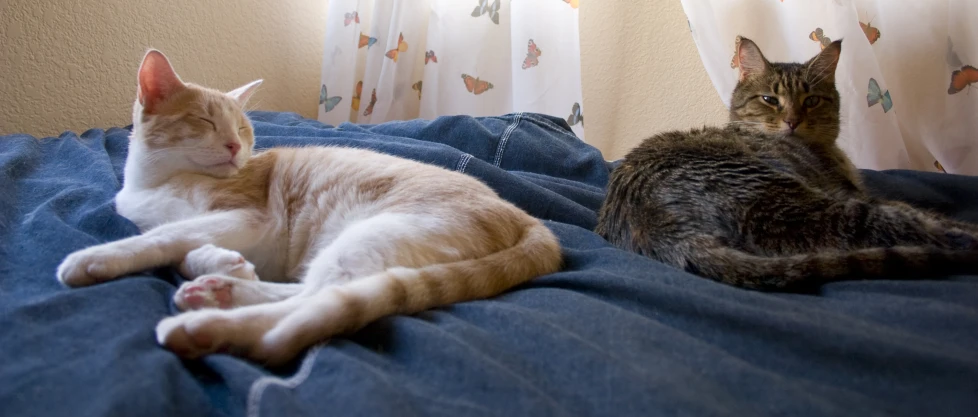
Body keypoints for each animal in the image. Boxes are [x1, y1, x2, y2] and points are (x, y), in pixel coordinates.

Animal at [59, 49, 564, 364]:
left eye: (242, 129)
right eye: (204, 121)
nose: (233, 146)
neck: (154, 183)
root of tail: (526, 216)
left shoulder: (246, 216)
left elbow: (163, 237)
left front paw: (95, 258)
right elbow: (179, 244)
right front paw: (221, 263)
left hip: (372, 234)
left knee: (315, 302)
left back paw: (208, 324)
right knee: (306, 292)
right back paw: (220, 290)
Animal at [596, 36, 976, 290]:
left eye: (811, 100)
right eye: (769, 99)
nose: (792, 121)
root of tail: (657, 225)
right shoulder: (854, 192)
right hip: (804, 204)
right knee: (920, 228)